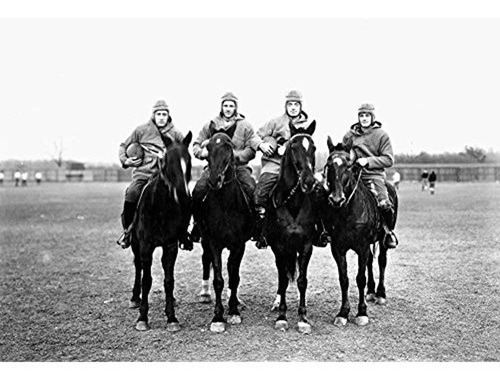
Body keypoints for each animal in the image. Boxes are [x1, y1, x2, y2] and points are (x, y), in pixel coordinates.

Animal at [129, 132, 193, 332]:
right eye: (166, 161)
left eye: (189, 160)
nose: (183, 196)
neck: (160, 208)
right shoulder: (145, 246)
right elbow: (146, 280)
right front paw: (142, 318)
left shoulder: (170, 245)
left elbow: (169, 280)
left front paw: (171, 317)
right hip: (135, 245)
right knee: (138, 267)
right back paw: (135, 298)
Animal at [197, 123, 254, 334]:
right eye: (208, 148)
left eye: (229, 147)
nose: (215, 180)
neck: (226, 206)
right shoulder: (214, 243)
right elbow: (219, 279)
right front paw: (218, 317)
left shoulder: (238, 245)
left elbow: (234, 277)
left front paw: (234, 311)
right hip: (204, 239)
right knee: (205, 260)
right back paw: (205, 294)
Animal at [264, 120, 318, 334]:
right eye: (293, 147)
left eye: (313, 148)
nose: (309, 181)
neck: (292, 202)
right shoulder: (280, 247)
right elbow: (284, 280)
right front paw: (282, 316)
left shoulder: (305, 246)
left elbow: (302, 281)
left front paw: (303, 318)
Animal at [320, 139, 398, 328]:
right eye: (329, 165)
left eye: (349, 166)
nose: (336, 199)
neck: (347, 212)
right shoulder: (338, 249)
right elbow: (344, 279)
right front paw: (343, 313)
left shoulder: (361, 247)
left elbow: (360, 278)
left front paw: (362, 313)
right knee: (370, 261)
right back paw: (371, 291)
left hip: (382, 241)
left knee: (381, 261)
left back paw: (380, 294)